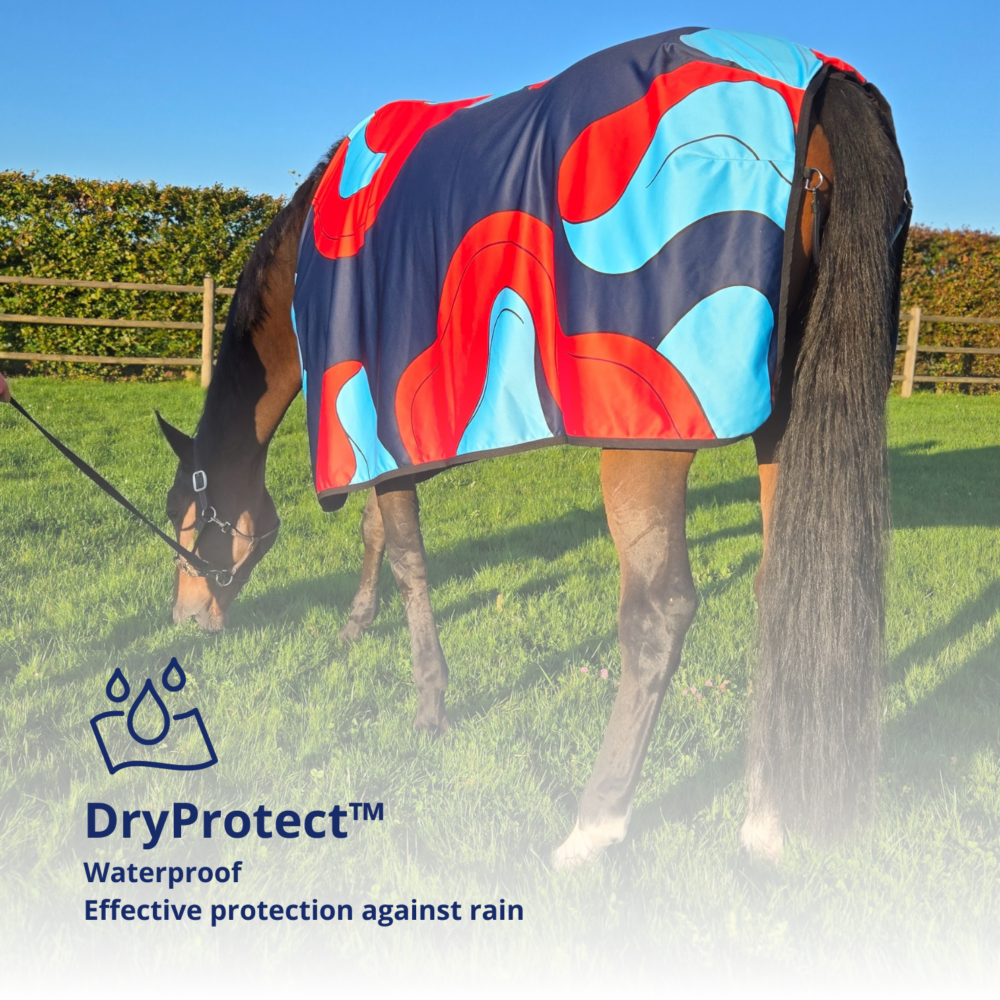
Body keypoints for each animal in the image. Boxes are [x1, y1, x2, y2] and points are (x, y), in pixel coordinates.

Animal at [156, 36, 908, 865]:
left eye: (188, 518)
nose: (185, 620)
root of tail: (822, 83)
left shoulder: (374, 417)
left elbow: (407, 555)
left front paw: (430, 704)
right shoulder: (387, 444)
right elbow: (378, 533)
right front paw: (356, 625)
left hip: (645, 437)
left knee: (658, 616)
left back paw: (594, 827)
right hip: (789, 424)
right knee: (784, 590)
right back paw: (765, 820)